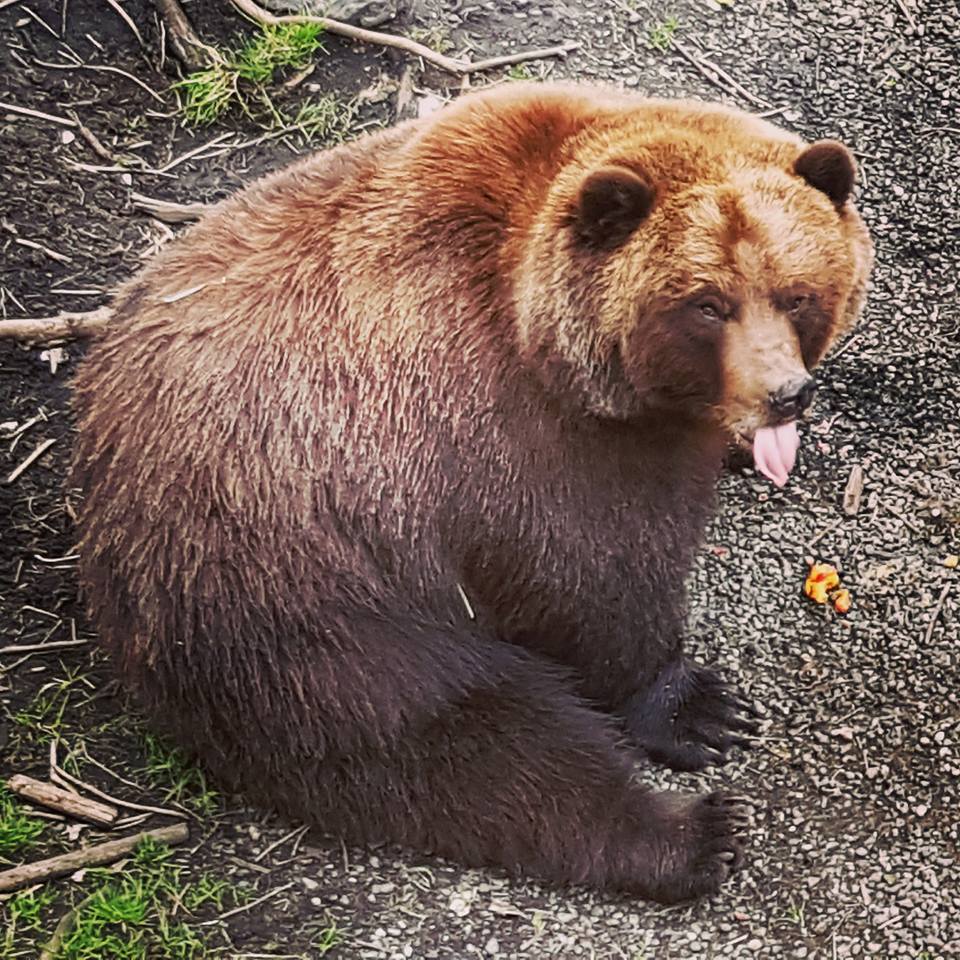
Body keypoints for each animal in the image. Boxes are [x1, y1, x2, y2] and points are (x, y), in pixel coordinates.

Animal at [71, 82, 872, 900]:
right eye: (707, 303)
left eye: (796, 294)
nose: (785, 395)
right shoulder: (496, 435)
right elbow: (590, 580)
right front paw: (700, 708)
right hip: (305, 593)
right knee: (465, 739)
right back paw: (689, 835)